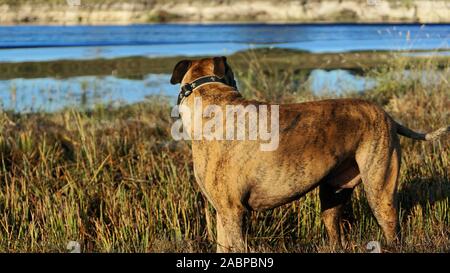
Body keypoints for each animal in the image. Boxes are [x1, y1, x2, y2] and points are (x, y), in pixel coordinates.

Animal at [170, 56, 450, 252]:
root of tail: (387, 116)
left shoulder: (232, 211)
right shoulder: (222, 213)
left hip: (380, 191)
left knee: (391, 226)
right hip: (332, 195)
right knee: (336, 233)